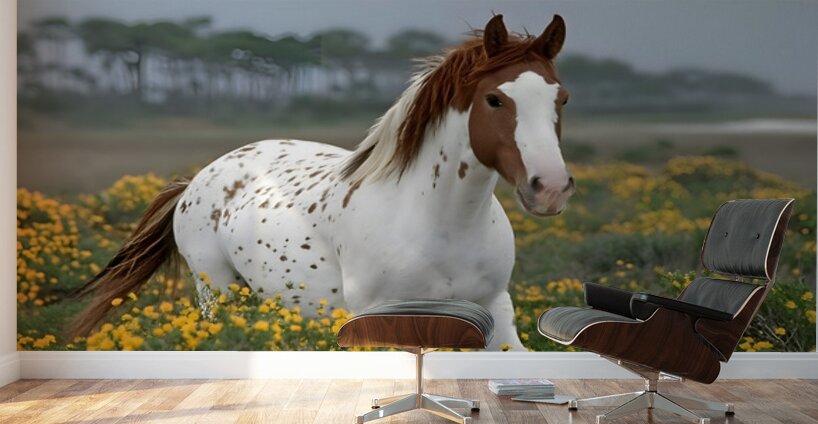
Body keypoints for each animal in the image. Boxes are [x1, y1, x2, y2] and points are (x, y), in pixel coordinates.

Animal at [72, 14, 574, 351]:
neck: (443, 224)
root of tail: (196, 181)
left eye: (562, 98)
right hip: (215, 289)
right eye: (494, 99)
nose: (549, 187)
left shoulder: (496, 315)